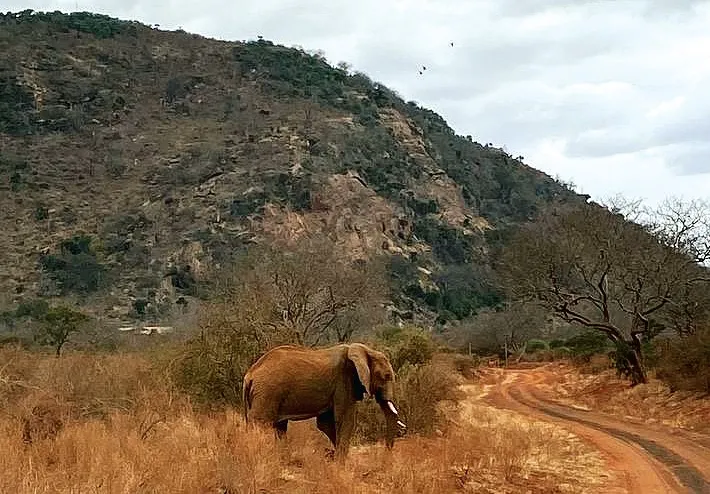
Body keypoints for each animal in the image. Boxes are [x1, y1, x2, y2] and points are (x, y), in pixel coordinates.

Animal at [242, 342, 407, 458]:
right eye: (386, 377)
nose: (387, 453)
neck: (364, 350)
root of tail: (249, 375)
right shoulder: (344, 381)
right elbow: (345, 419)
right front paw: (341, 464)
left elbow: (325, 423)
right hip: (267, 392)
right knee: (261, 423)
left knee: (279, 427)